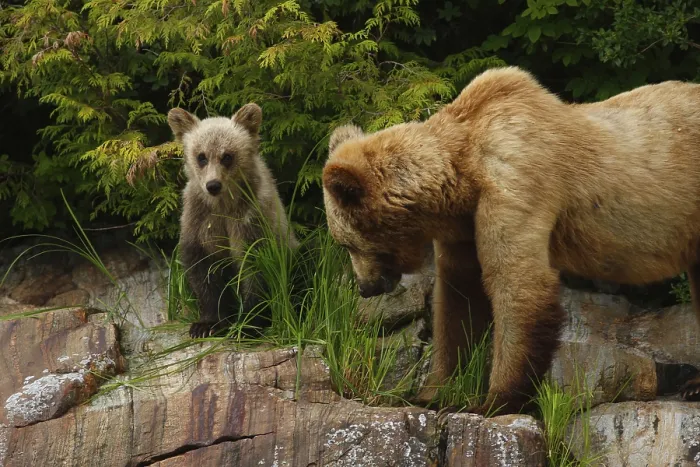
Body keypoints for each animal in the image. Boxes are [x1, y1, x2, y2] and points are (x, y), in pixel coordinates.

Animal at [168, 103, 299, 339]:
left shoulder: (250, 219)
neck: (223, 204)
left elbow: (256, 269)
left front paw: (247, 324)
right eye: (201, 156)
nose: (213, 185)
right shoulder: (199, 218)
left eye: (227, 156)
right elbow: (203, 272)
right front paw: (206, 324)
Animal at [321, 65, 700, 416]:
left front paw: (495, 400)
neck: (462, 173)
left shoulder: (516, 177)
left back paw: (691, 385)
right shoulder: (464, 227)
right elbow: (457, 300)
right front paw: (432, 393)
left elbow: (516, 285)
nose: (365, 287)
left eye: (345, 243)